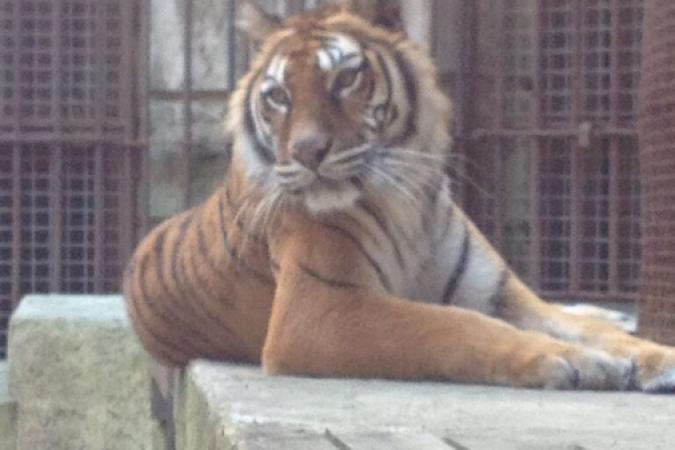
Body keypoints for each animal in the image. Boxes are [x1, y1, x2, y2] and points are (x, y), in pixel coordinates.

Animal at [124, 0, 675, 390]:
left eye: (345, 78)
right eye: (279, 96)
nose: (307, 151)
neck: (407, 201)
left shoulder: (499, 293)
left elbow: (581, 328)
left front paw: (653, 356)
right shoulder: (317, 308)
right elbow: (454, 326)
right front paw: (570, 360)